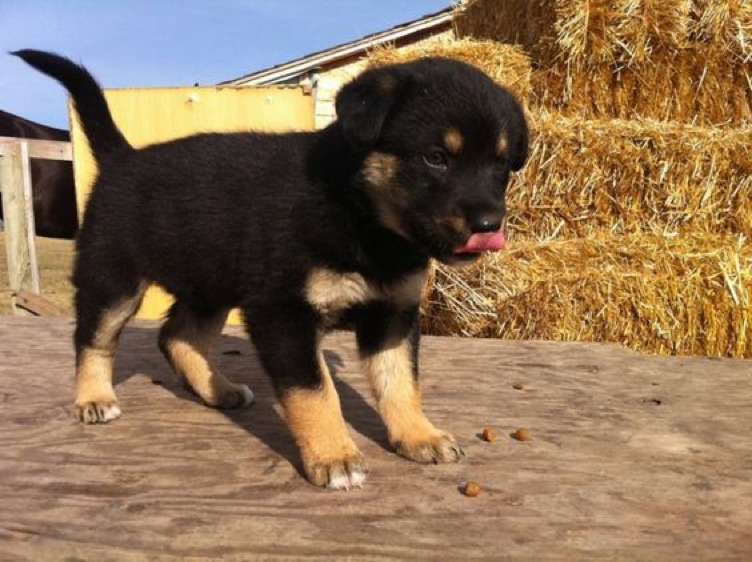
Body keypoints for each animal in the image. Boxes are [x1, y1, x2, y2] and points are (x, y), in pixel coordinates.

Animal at [13, 50, 528, 488]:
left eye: (502, 164)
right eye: (435, 157)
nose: (490, 225)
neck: (363, 219)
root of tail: (123, 156)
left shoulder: (393, 314)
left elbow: (399, 382)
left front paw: (418, 436)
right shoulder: (283, 312)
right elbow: (315, 392)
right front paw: (334, 456)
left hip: (211, 283)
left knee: (177, 336)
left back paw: (218, 390)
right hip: (113, 277)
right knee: (94, 338)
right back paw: (94, 398)